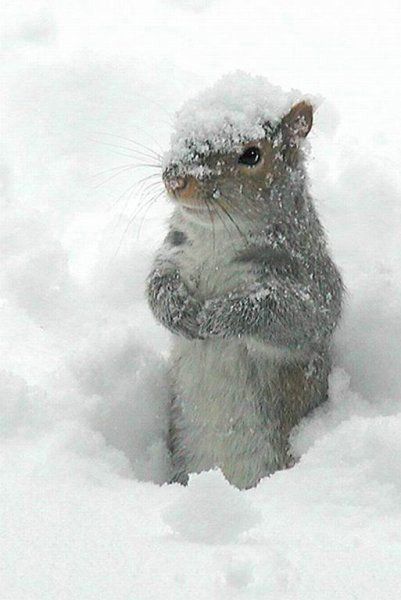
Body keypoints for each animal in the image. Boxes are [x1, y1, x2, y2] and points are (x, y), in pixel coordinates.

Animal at [145, 76, 342, 488]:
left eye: (251, 155)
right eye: (182, 129)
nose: (176, 179)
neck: (217, 235)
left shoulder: (308, 279)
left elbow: (290, 314)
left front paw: (218, 317)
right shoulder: (175, 254)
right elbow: (157, 283)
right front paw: (177, 311)